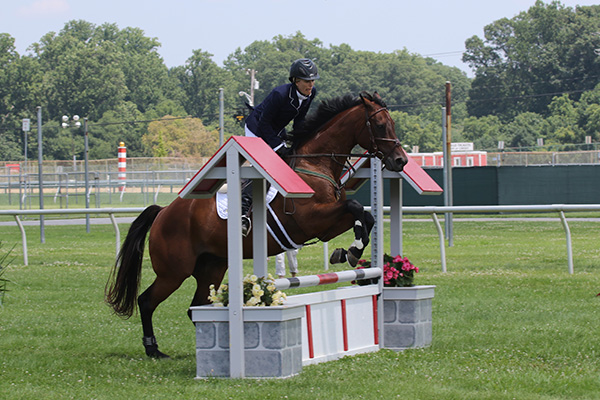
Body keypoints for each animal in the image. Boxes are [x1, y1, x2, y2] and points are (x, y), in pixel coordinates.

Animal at [106, 91, 408, 360]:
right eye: (380, 125)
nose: (401, 160)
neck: (315, 165)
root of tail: (163, 212)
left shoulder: (327, 225)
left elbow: (365, 216)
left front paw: (348, 252)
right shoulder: (312, 220)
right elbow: (355, 207)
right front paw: (352, 252)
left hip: (212, 267)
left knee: (195, 307)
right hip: (174, 272)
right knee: (147, 301)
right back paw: (153, 350)